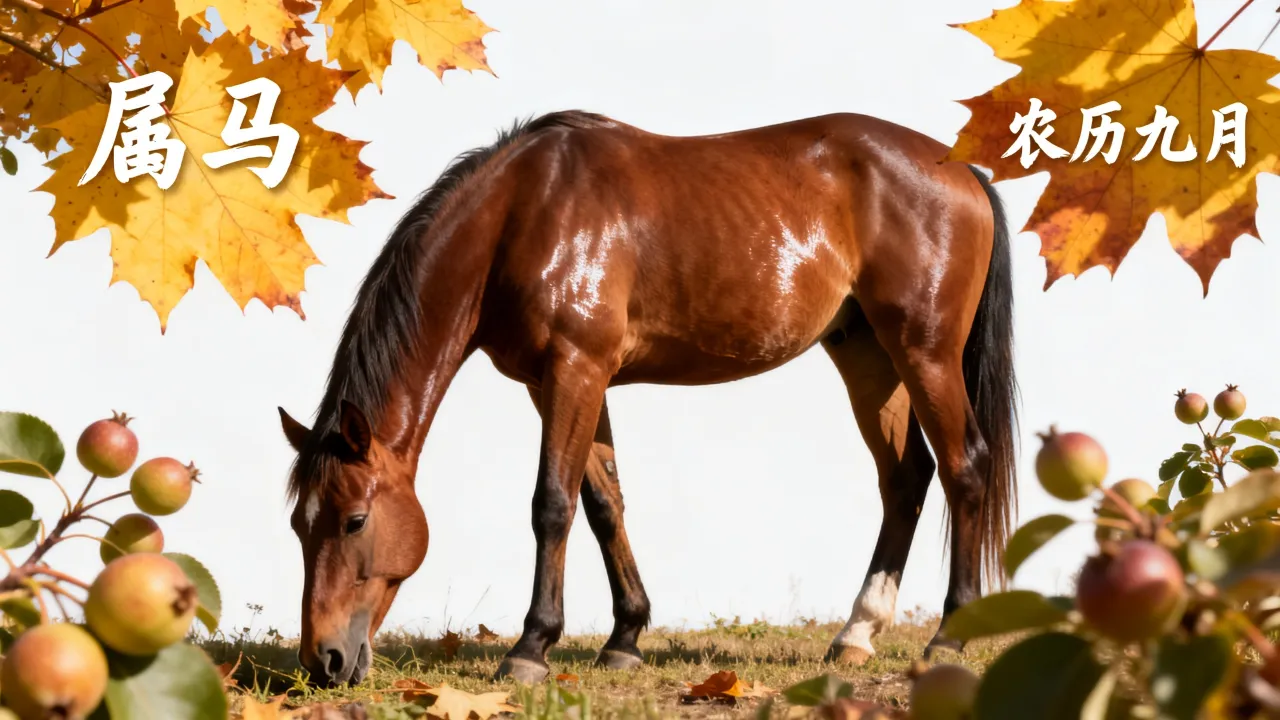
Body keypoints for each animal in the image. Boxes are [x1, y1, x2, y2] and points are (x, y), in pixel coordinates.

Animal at [276, 109, 1018, 686]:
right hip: (866, 354)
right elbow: (604, 503)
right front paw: (625, 639)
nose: (324, 661)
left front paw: (530, 648)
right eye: (298, 527)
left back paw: (948, 635)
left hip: (925, 354)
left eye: (353, 521)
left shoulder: (575, 368)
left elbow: (552, 503)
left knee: (965, 467)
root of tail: (963, 172)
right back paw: (857, 633)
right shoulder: (562, 381)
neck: (522, 214)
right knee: (907, 477)